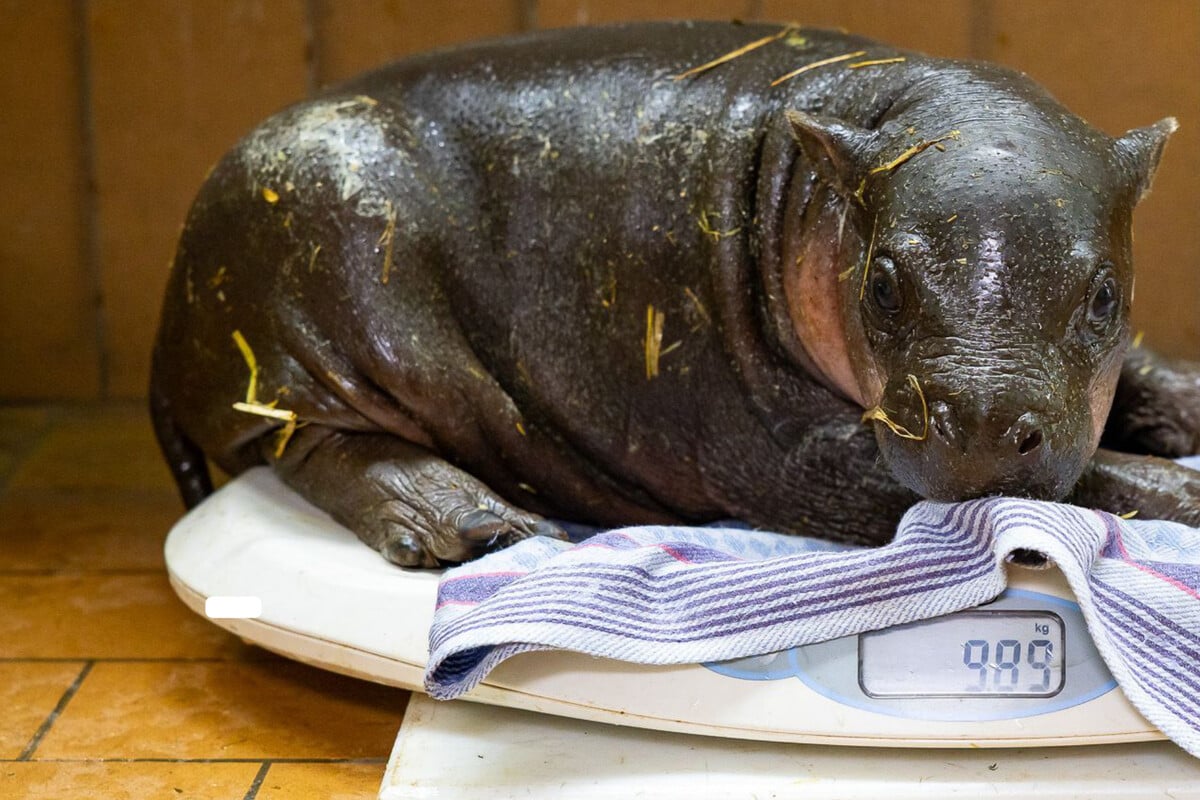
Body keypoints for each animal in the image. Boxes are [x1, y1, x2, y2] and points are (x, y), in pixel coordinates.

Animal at [150, 21, 1200, 567]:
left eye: (1107, 295)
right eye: (884, 283)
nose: (979, 426)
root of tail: (169, 303)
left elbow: (1140, 391)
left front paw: (1184, 407)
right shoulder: (793, 458)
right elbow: (1095, 476)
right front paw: (1185, 488)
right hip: (336, 304)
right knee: (319, 448)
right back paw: (476, 526)